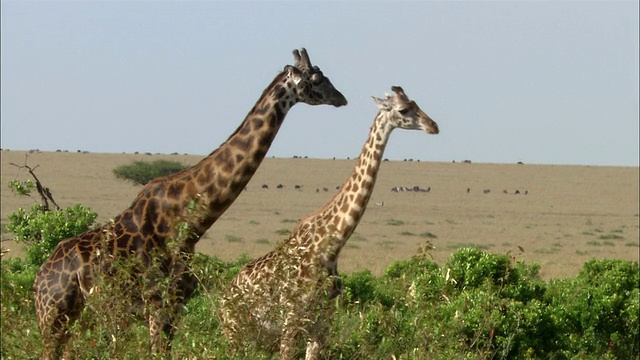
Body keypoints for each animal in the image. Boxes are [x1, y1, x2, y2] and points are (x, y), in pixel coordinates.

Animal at [32, 48, 348, 360]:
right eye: (317, 79)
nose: (342, 98)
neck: (190, 219)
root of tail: (38, 281)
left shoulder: (178, 301)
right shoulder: (156, 299)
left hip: (75, 316)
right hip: (54, 316)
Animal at [221, 86, 440, 358]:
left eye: (416, 103)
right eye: (403, 109)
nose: (433, 126)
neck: (331, 247)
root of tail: (223, 296)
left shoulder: (322, 326)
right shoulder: (291, 321)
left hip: (255, 334)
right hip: (234, 330)